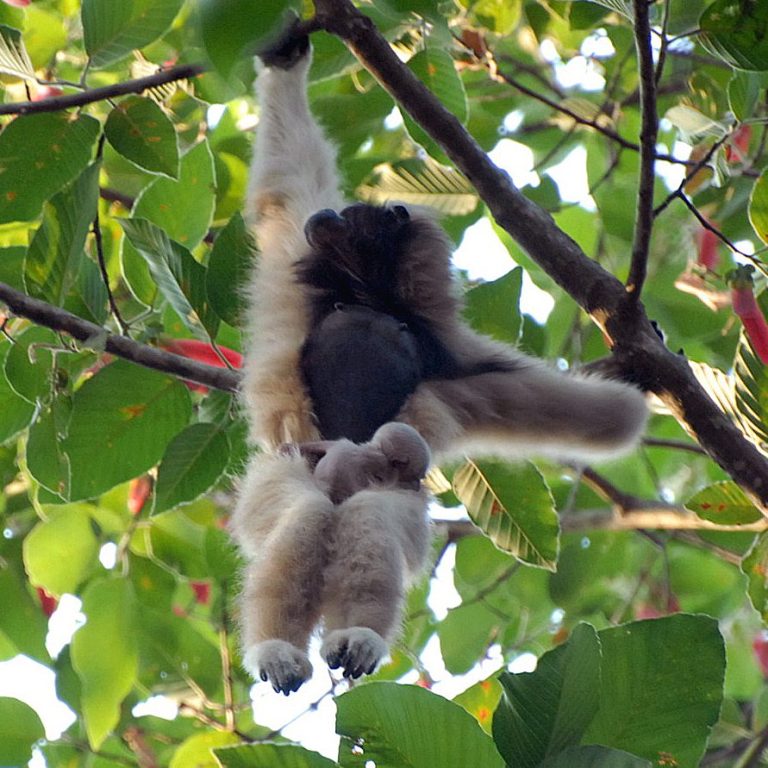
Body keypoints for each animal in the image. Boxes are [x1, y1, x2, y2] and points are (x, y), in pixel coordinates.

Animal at [231, 21, 648, 695]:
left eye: (353, 217)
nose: (328, 217)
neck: (374, 298)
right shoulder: (302, 262)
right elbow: (285, 190)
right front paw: (286, 60)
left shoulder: (452, 356)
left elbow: (601, 418)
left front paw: (631, 369)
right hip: (280, 477)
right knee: (303, 514)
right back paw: (280, 648)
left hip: (393, 488)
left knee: (373, 516)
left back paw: (355, 636)